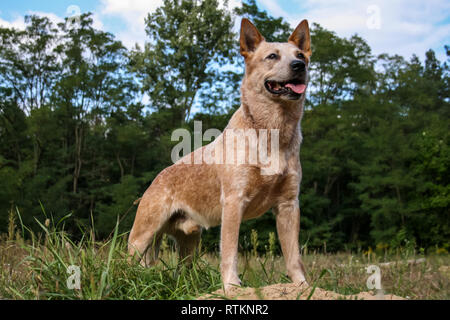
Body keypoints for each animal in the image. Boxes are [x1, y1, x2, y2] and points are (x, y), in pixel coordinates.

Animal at [128, 18, 312, 292]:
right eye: (272, 56)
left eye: (300, 54)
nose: (300, 66)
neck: (273, 132)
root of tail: (156, 179)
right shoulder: (234, 201)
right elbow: (229, 251)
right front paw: (231, 286)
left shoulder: (288, 204)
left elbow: (293, 256)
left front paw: (303, 287)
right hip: (143, 234)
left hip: (190, 241)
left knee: (182, 271)